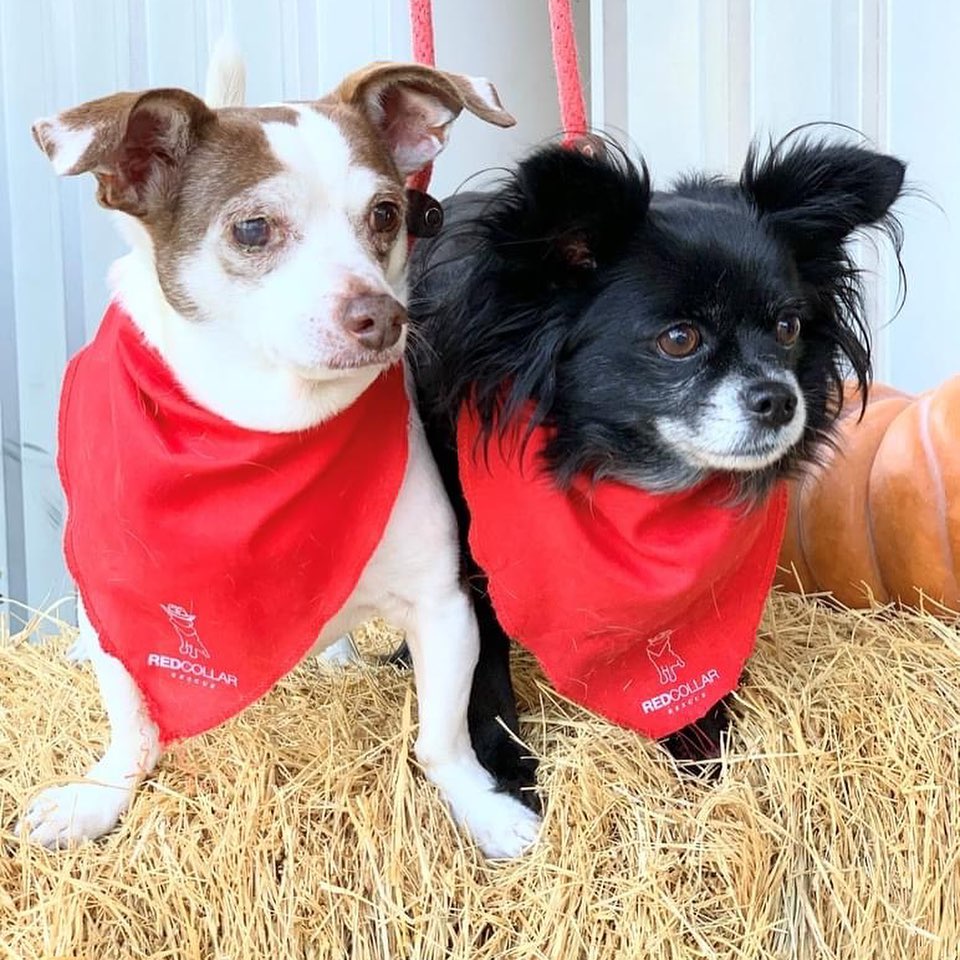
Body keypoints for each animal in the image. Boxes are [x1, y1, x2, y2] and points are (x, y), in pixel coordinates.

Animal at [20, 47, 540, 856]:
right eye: (255, 229)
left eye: (385, 214)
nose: (382, 315)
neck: (270, 428)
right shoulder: (124, 612)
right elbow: (132, 728)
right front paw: (98, 799)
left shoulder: (444, 605)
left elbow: (442, 740)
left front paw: (482, 808)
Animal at [408, 137, 904, 808]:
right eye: (678, 339)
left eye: (788, 327)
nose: (781, 398)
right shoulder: (470, 566)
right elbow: (484, 674)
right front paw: (505, 771)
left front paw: (699, 743)